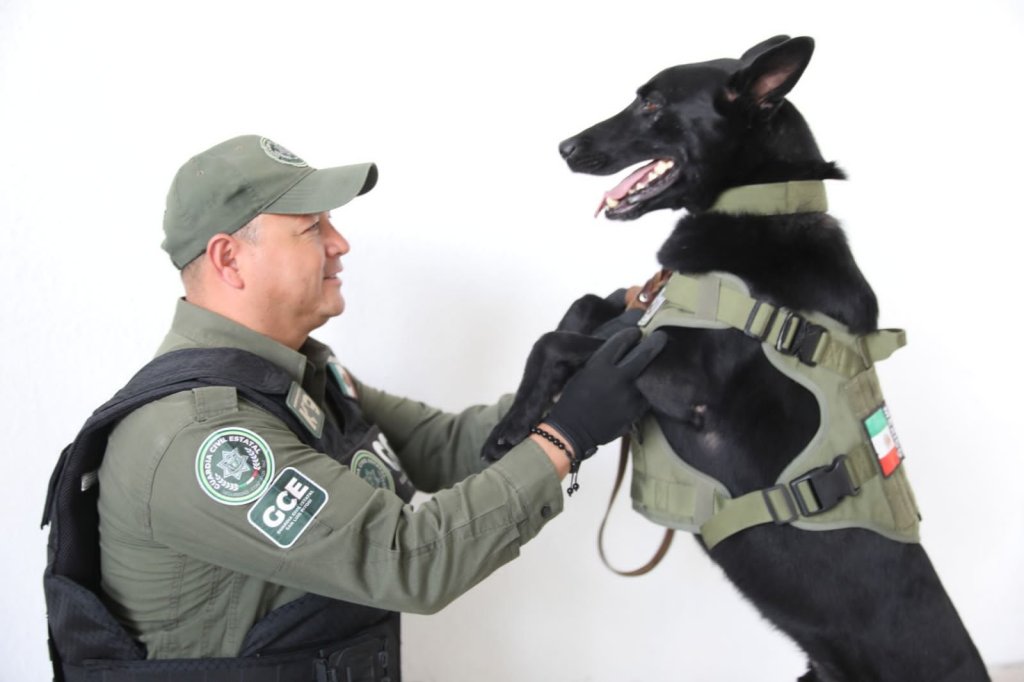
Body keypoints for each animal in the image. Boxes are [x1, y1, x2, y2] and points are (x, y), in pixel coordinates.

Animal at [482, 36, 989, 681]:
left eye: (651, 104)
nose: (565, 147)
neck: (761, 211)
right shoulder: (642, 316)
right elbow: (587, 306)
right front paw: (534, 407)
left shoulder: (681, 383)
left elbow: (553, 340)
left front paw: (509, 428)